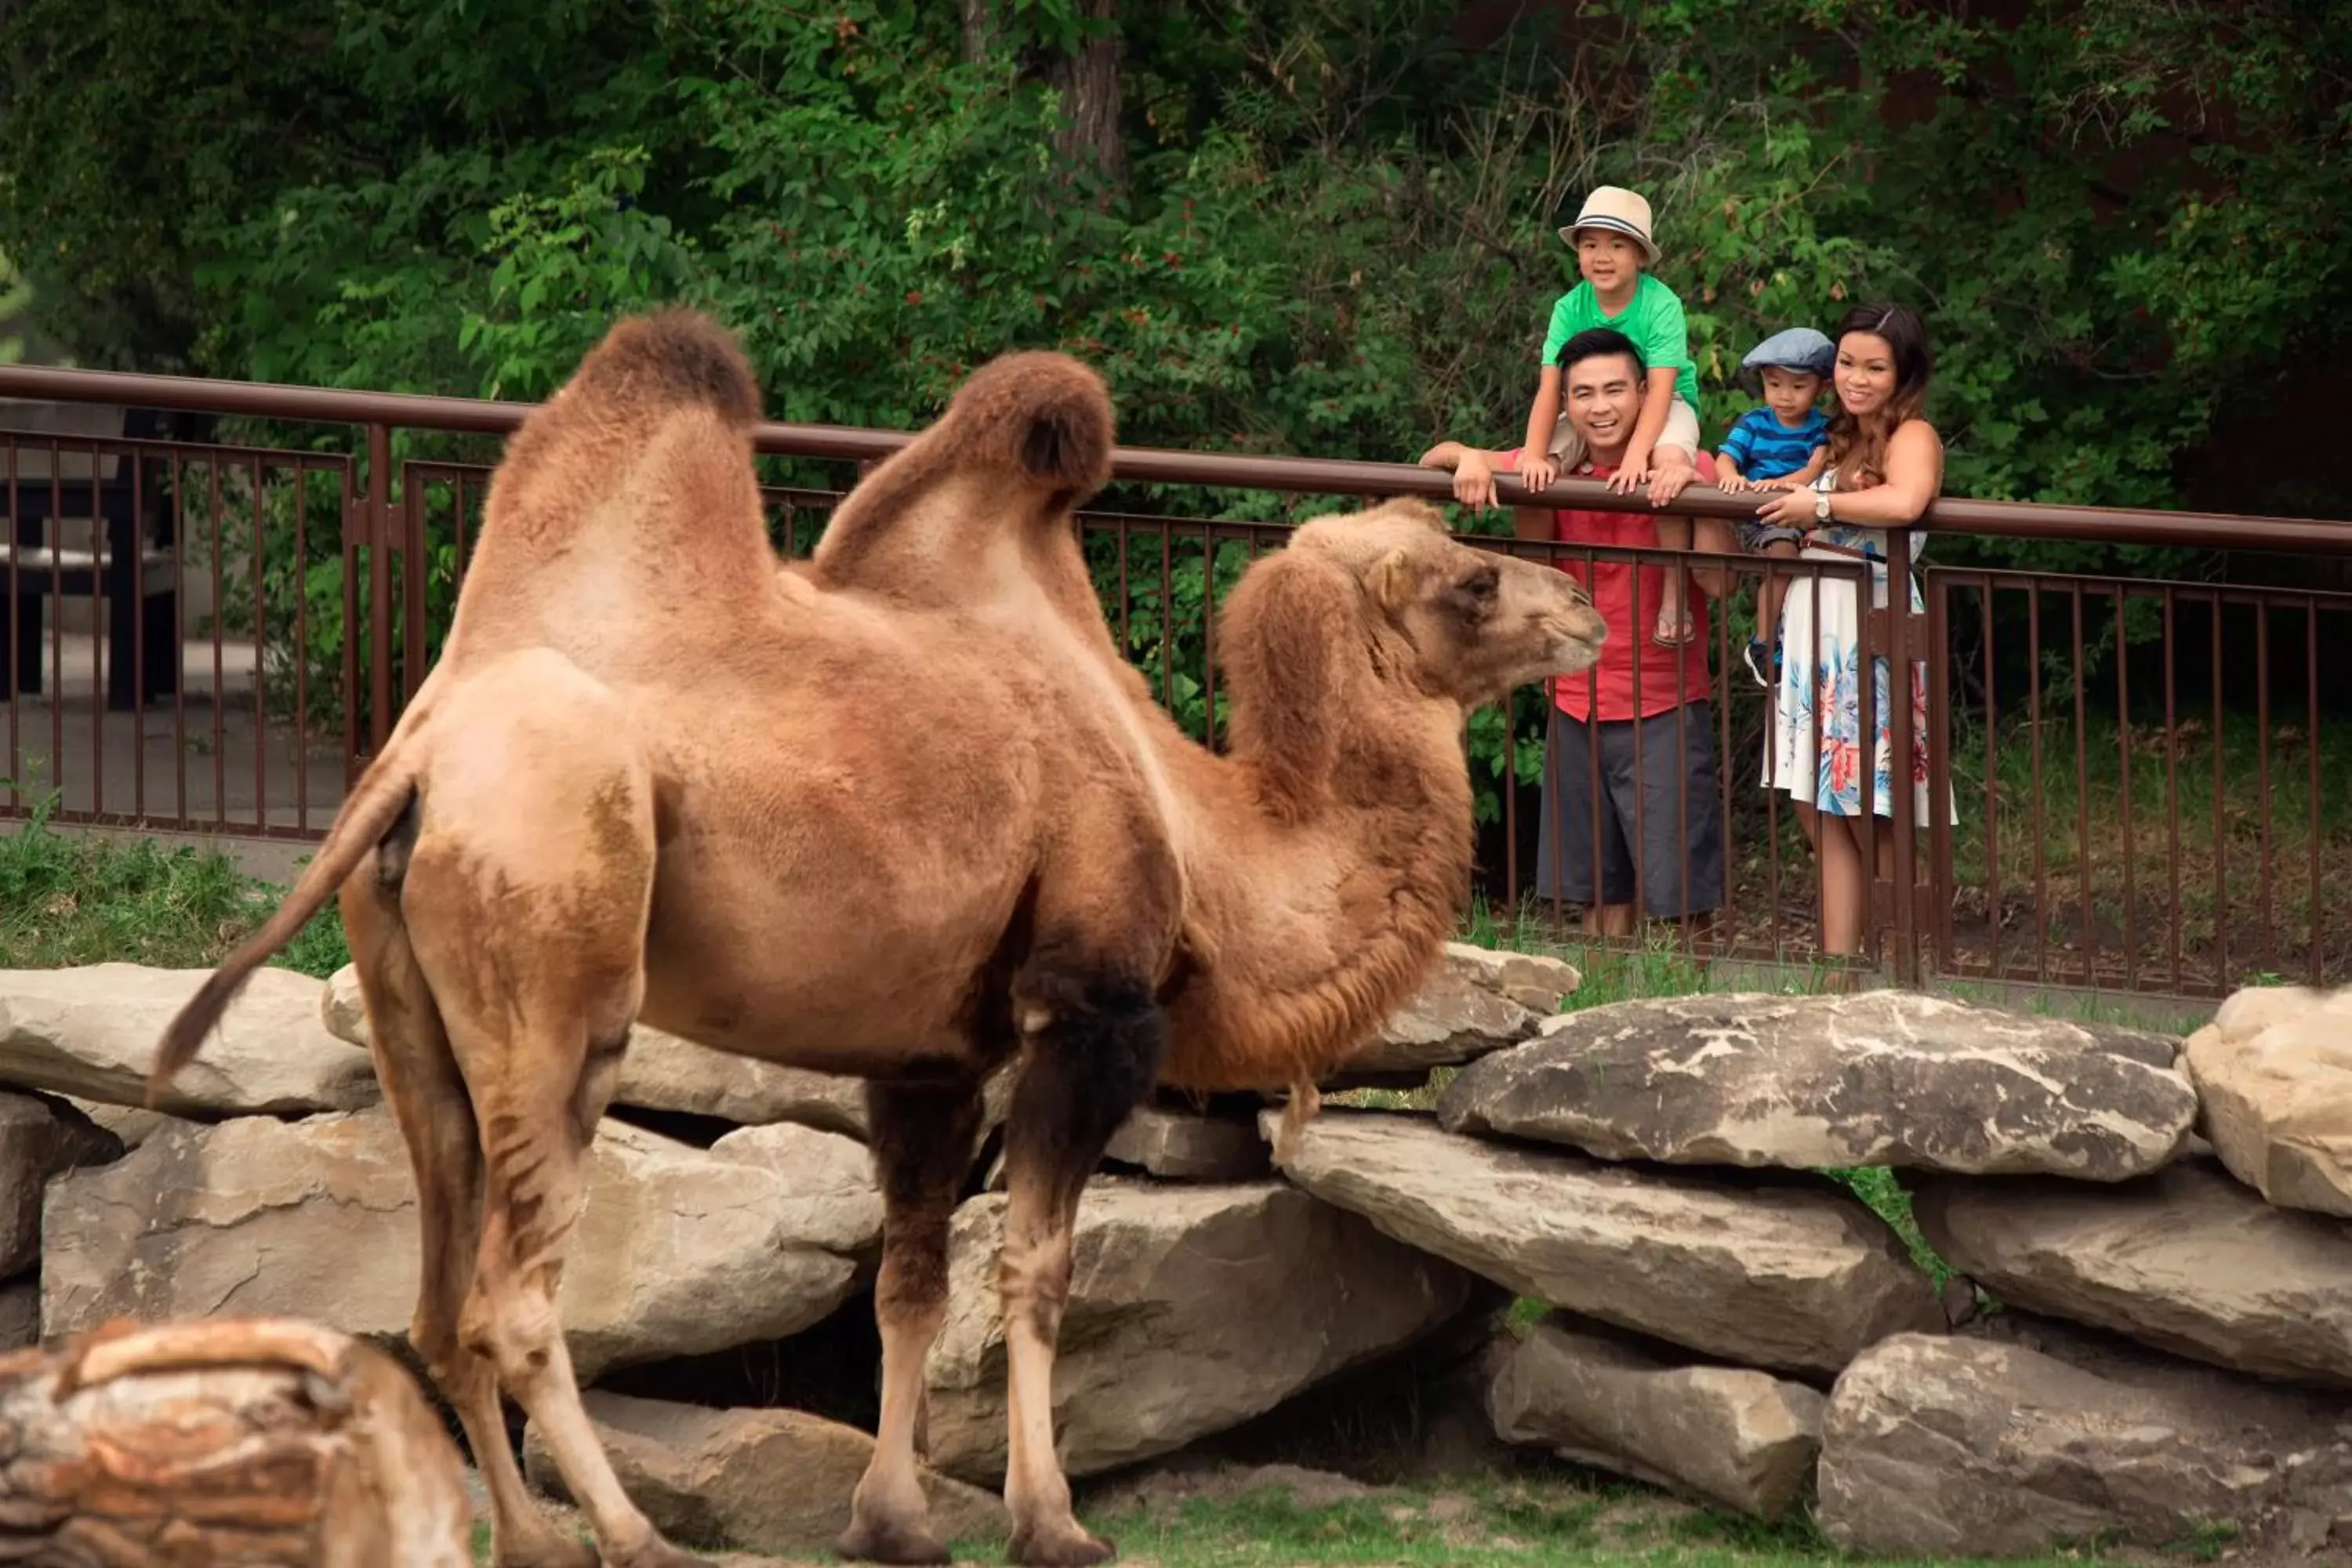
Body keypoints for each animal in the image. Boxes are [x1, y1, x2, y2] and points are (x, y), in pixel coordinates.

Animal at [151, 312, 1618, 1568]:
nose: (1587, 609)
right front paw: (1051, 1521)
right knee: (513, 1296)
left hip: (411, 1000)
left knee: (435, 1305)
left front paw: (892, 1520)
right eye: (1474, 580)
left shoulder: (928, 1056)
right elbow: (1037, 1266)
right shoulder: (1089, 1006)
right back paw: (631, 1538)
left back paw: (529, 1542)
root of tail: (419, 758)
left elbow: (908, 1282)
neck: (1206, 836)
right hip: (562, 952)